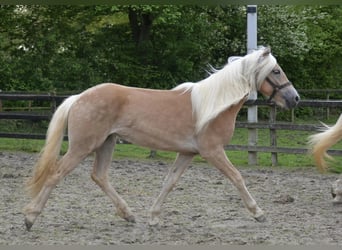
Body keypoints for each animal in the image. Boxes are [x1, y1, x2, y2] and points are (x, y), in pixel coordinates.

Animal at [22, 46, 300, 230]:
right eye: (276, 71)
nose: (294, 98)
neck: (213, 105)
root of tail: (79, 97)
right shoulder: (212, 151)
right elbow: (237, 177)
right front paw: (258, 213)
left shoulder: (187, 153)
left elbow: (169, 182)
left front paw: (154, 217)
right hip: (82, 146)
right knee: (56, 174)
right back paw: (30, 218)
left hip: (106, 143)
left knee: (99, 176)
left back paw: (129, 215)